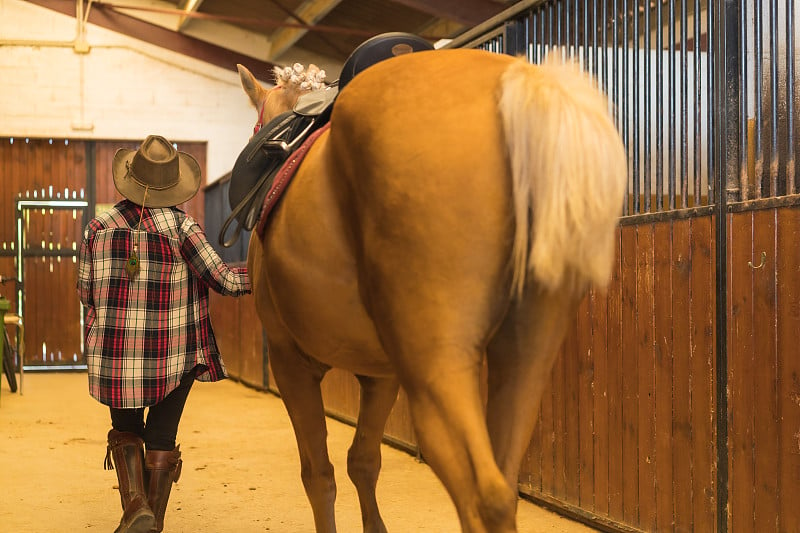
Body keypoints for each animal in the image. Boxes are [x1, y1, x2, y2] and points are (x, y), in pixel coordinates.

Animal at [234, 46, 628, 532]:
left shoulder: (291, 361)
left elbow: (318, 474)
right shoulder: (381, 376)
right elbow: (363, 461)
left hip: (437, 373)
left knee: (483, 495)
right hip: (525, 362)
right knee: (503, 485)